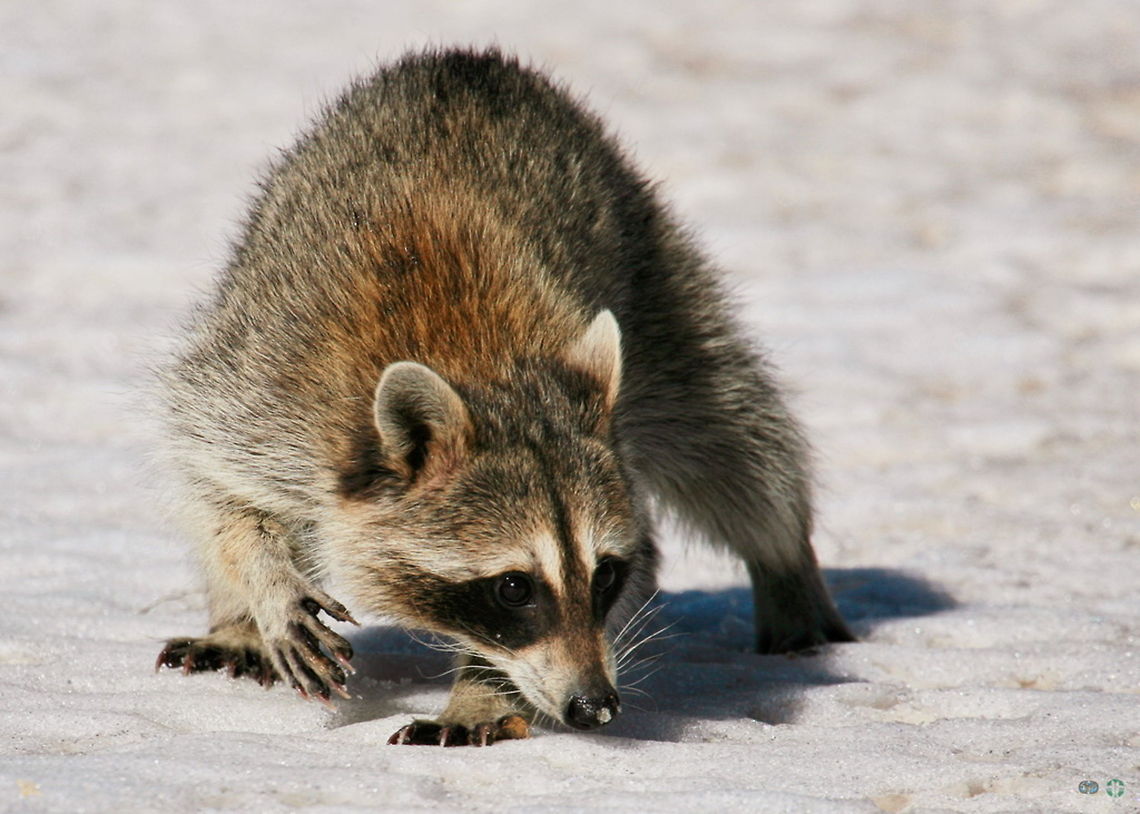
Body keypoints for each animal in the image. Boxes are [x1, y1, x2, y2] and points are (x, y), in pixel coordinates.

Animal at [155, 47, 853, 746]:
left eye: (604, 573)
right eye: (513, 587)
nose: (596, 706)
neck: (479, 369)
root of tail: (466, 60)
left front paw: (483, 690)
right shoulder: (263, 390)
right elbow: (219, 494)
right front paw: (264, 579)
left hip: (655, 277)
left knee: (734, 437)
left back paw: (787, 567)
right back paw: (236, 620)